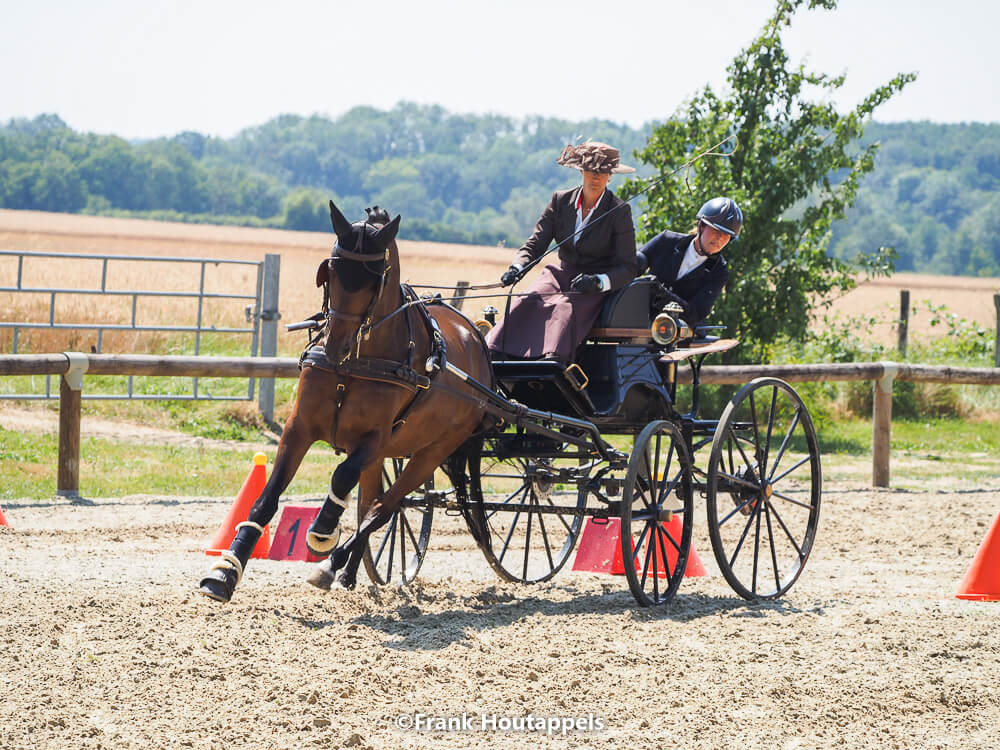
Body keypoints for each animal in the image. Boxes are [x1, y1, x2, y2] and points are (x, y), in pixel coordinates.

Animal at [197, 200, 494, 604]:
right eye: (331, 273)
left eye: (375, 280)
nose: (335, 345)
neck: (354, 362)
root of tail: (476, 338)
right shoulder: (298, 428)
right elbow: (267, 497)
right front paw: (225, 571)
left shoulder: (375, 440)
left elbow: (341, 477)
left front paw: (323, 531)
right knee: (375, 502)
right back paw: (347, 573)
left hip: (434, 450)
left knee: (384, 508)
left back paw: (331, 563)